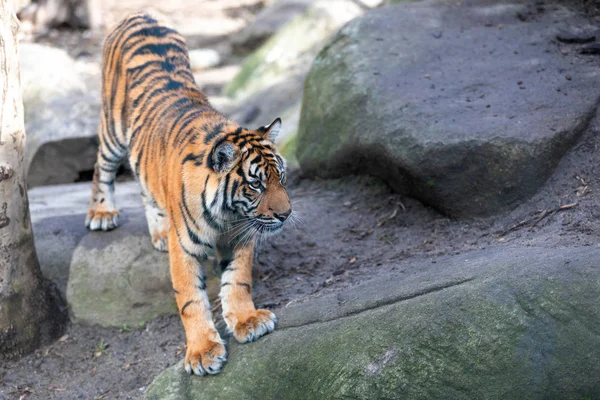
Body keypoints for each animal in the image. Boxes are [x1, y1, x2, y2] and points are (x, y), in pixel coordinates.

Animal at [84, 12, 290, 376]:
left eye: (280, 176)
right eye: (256, 185)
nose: (286, 213)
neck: (229, 213)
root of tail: (139, 13)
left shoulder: (240, 237)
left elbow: (238, 281)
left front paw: (248, 320)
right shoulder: (186, 250)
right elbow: (191, 299)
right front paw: (202, 352)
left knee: (144, 188)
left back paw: (159, 232)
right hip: (112, 129)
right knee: (101, 167)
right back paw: (102, 213)